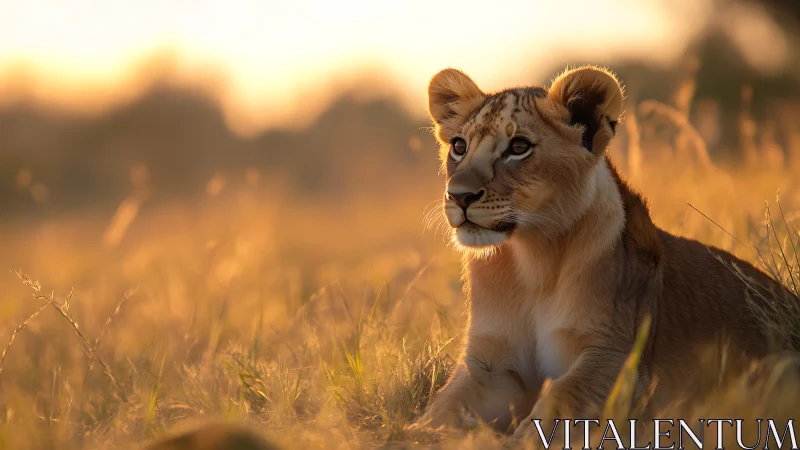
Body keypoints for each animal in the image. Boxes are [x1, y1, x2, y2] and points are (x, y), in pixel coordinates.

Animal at [416, 65, 794, 437]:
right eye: (459, 146)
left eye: (519, 146)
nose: (458, 196)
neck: (532, 263)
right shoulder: (489, 365)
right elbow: (444, 405)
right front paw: (422, 432)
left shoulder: (619, 358)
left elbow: (560, 399)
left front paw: (520, 441)